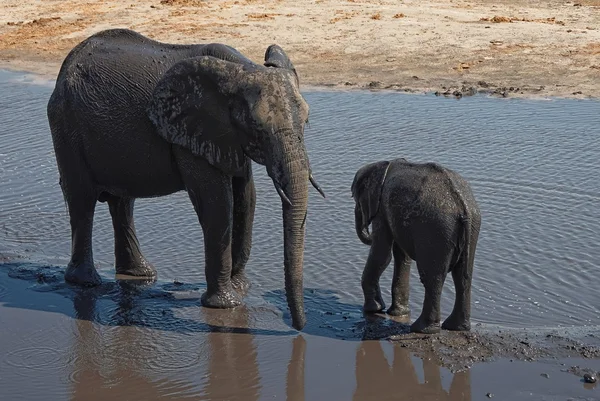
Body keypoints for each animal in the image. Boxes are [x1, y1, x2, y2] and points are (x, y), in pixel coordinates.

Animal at [46, 27, 324, 328]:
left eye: (307, 121)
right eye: (257, 127)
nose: (297, 327)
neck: (242, 69)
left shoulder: (227, 137)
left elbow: (246, 198)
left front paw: (240, 289)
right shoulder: (191, 135)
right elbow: (217, 202)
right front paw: (226, 304)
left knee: (122, 203)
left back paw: (140, 275)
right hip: (67, 125)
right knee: (82, 199)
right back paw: (86, 283)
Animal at [352, 158, 482, 332]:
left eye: (356, 199)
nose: (367, 229)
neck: (384, 164)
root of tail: (462, 206)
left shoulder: (382, 209)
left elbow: (382, 255)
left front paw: (373, 310)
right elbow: (402, 257)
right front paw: (397, 313)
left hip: (435, 229)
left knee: (432, 277)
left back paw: (422, 329)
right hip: (471, 225)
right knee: (462, 276)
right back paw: (456, 327)